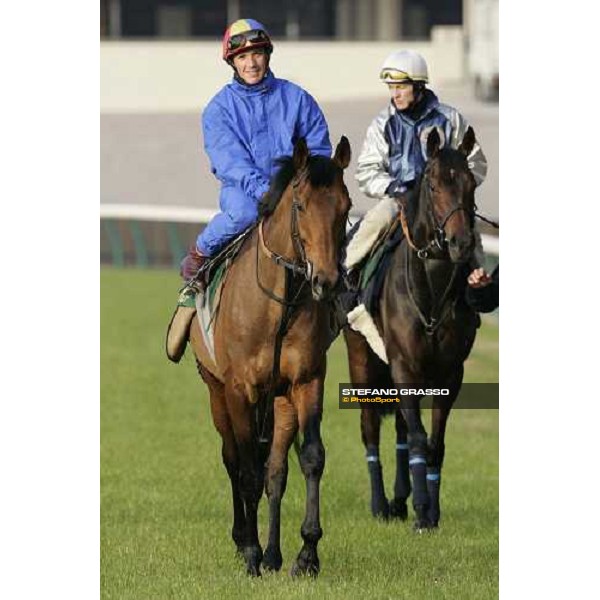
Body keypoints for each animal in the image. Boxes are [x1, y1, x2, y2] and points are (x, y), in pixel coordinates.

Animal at [190, 137, 354, 576]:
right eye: (300, 204)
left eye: (345, 205)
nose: (327, 280)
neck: (278, 307)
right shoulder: (238, 389)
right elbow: (246, 471)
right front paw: (249, 552)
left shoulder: (306, 380)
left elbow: (310, 458)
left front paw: (307, 554)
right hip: (215, 393)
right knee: (234, 459)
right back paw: (245, 541)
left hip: (278, 402)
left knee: (275, 469)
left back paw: (274, 553)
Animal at [344, 126, 480, 528]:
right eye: (433, 185)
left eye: (471, 184)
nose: (461, 242)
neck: (430, 290)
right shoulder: (403, 365)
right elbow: (419, 437)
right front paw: (421, 510)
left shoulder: (449, 373)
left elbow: (434, 442)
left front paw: (430, 510)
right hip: (362, 359)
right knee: (370, 428)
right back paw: (380, 504)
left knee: (402, 428)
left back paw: (400, 499)